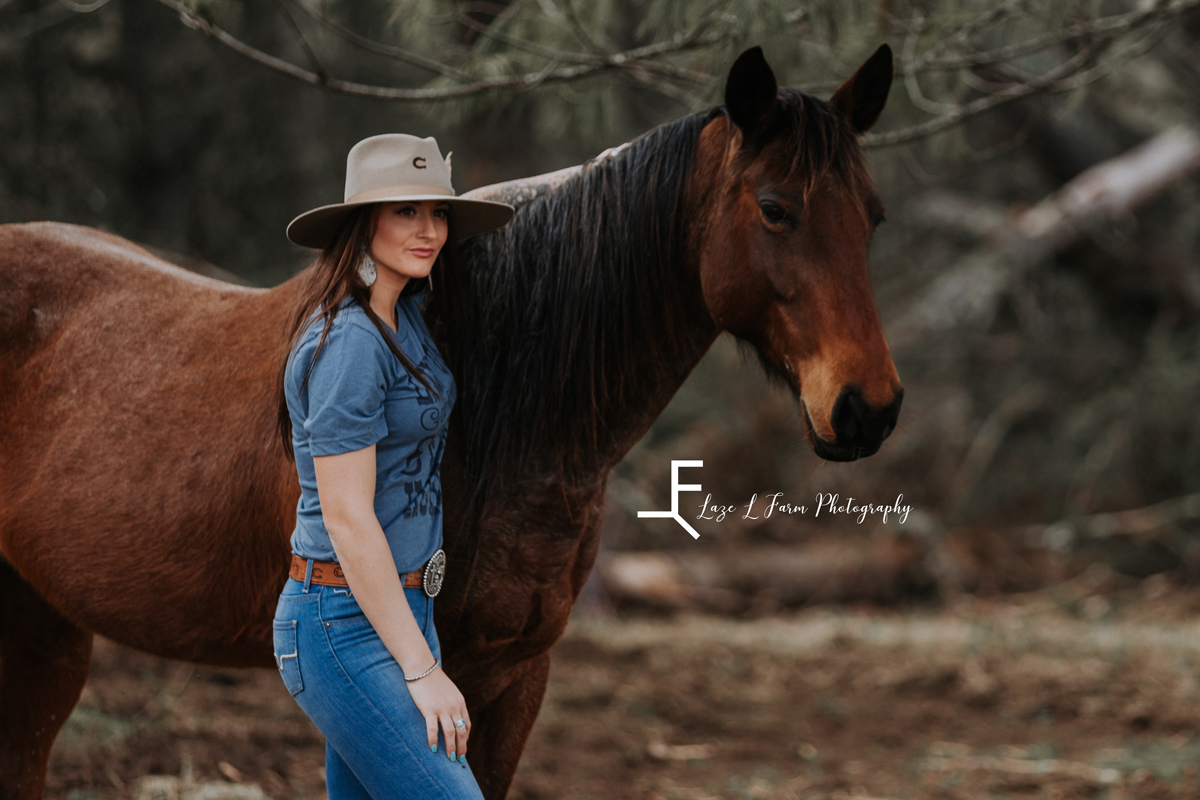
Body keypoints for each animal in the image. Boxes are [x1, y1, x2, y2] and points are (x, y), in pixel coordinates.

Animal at [0, 47, 902, 796]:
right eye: (775, 210)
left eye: (874, 215)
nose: (870, 408)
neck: (510, 414)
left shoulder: (515, 673)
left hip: (44, 628)